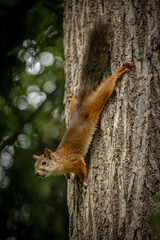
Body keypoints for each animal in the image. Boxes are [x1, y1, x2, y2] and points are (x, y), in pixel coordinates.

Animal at [33, 18, 133, 191]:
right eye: (35, 165)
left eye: (44, 162)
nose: (37, 174)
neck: (59, 161)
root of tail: (81, 105)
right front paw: (68, 177)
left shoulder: (74, 160)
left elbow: (82, 168)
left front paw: (84, 182)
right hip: (74, 109)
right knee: (74, 104)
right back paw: (72, 97)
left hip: (95, 103)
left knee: (106, 87)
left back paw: (120, 71)